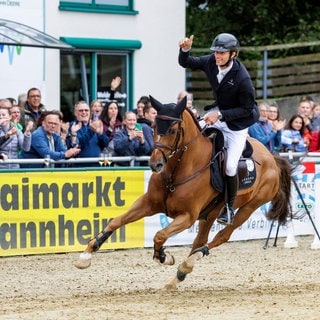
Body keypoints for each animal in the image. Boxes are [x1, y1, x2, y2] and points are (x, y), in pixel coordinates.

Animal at [75, 95, 292, 290]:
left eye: (172, 130)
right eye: (153, 127)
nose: (155, 164)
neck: (176, 171)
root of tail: (271, 157)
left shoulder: (187, 216)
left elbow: (160, 235)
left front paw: (164, 256)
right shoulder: (148, 203)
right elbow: (116, 221)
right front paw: (86, 254)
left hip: (248, 207)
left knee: (221, 237)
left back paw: (186, 265)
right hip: (210, 213)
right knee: (200, 240)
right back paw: (178, 276)